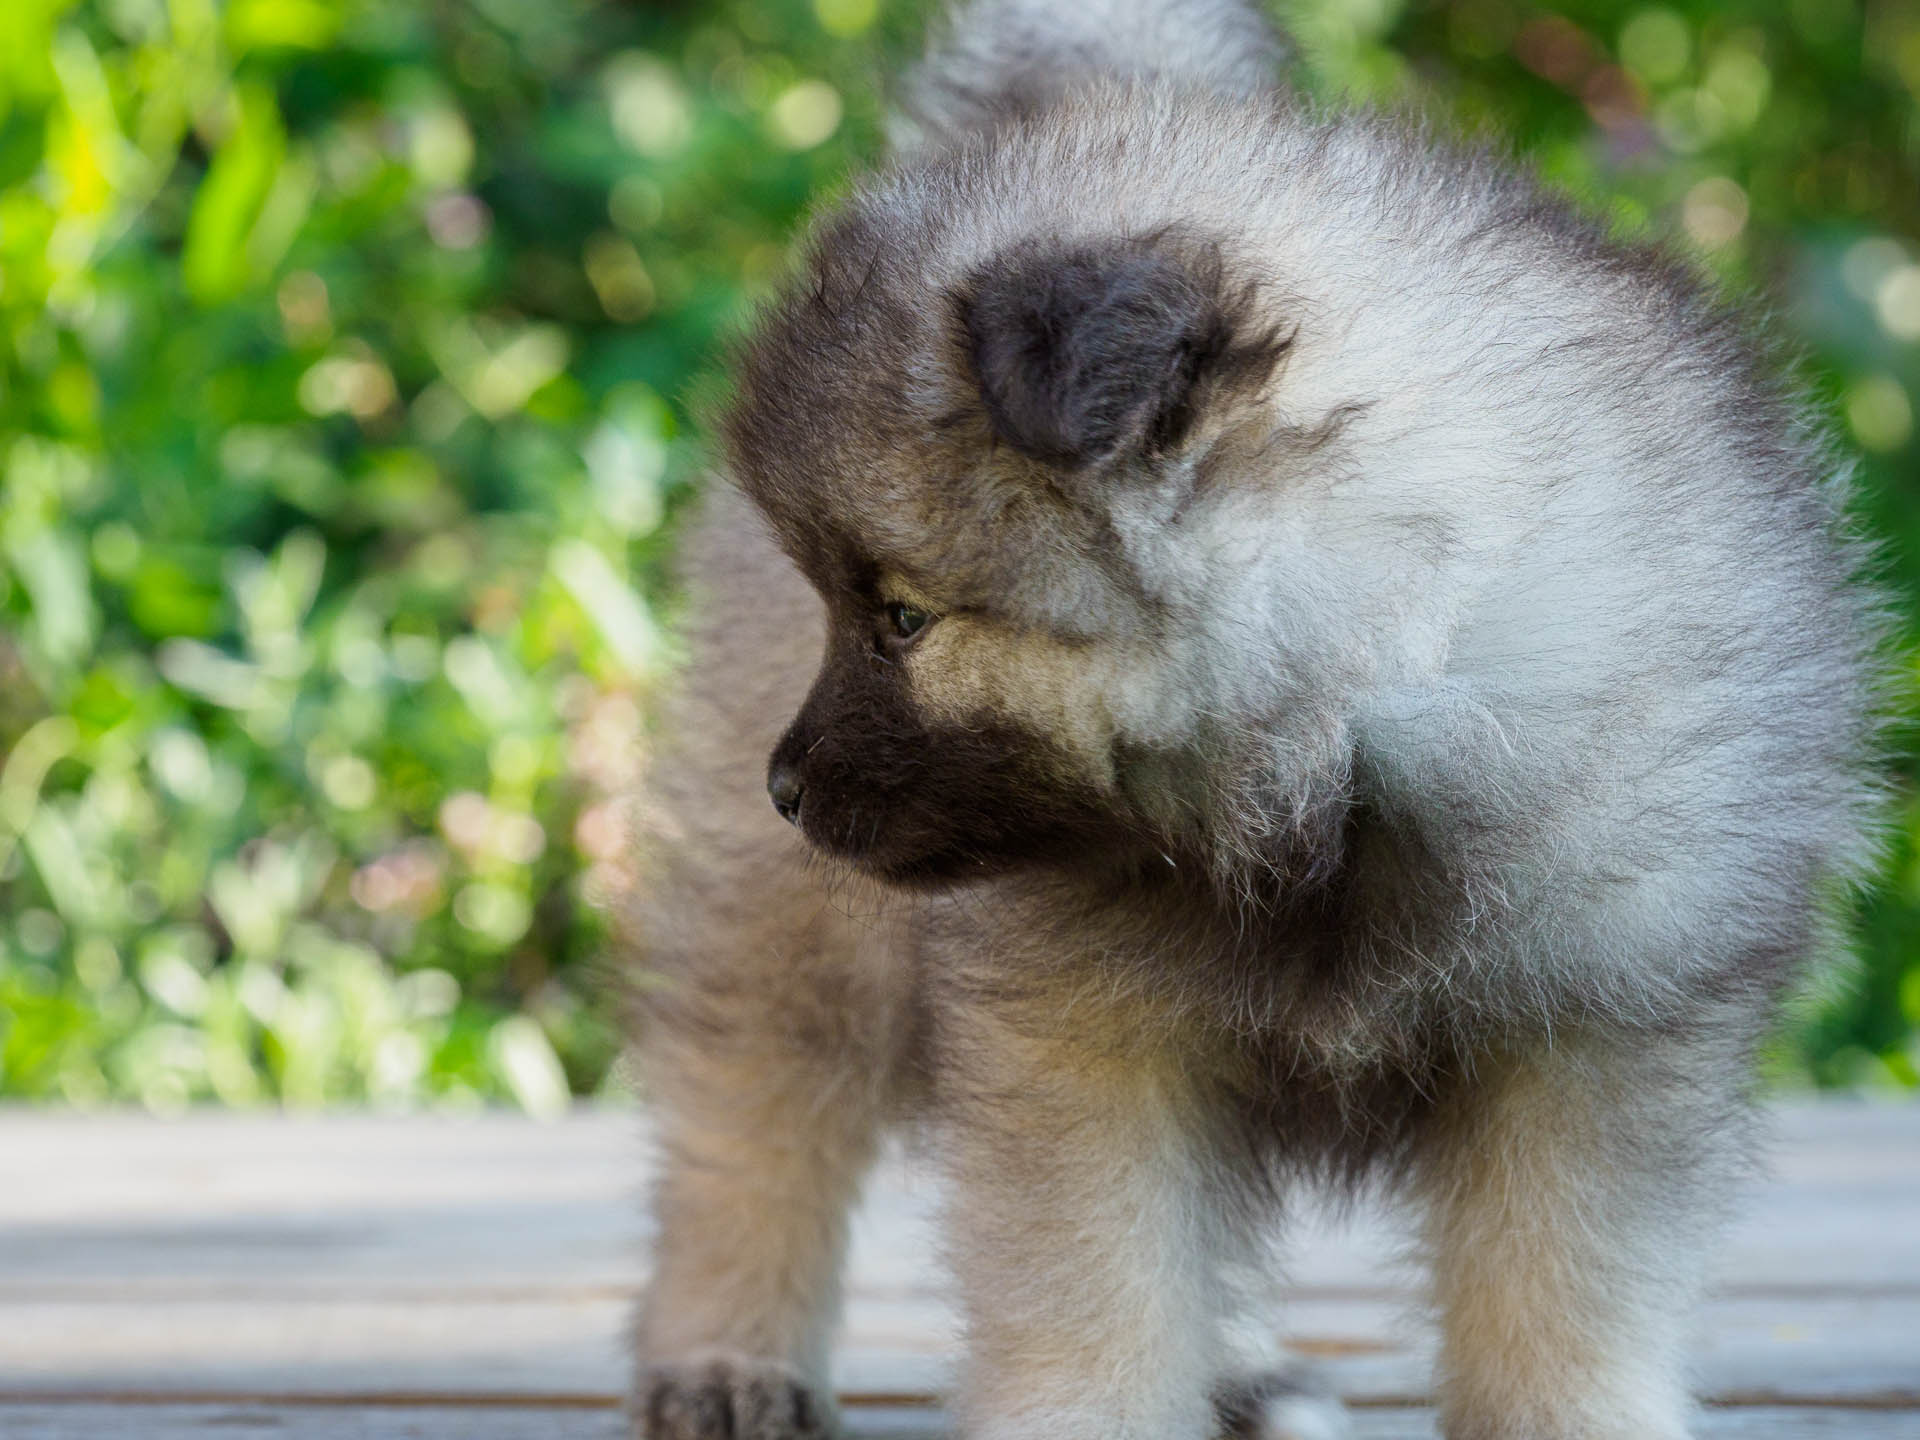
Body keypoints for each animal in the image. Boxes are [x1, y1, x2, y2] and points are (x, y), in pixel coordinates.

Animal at [622, 2, 1881, 1440]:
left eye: (900, 618)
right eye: (851, 605)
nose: (785, 784)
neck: (1356, 748)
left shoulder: (1600, 1037)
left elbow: (1560, 1305)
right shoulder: (1090, 1041)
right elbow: (1101, 1296)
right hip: (797, 930)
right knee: (755, 1116)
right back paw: (727, 1353)